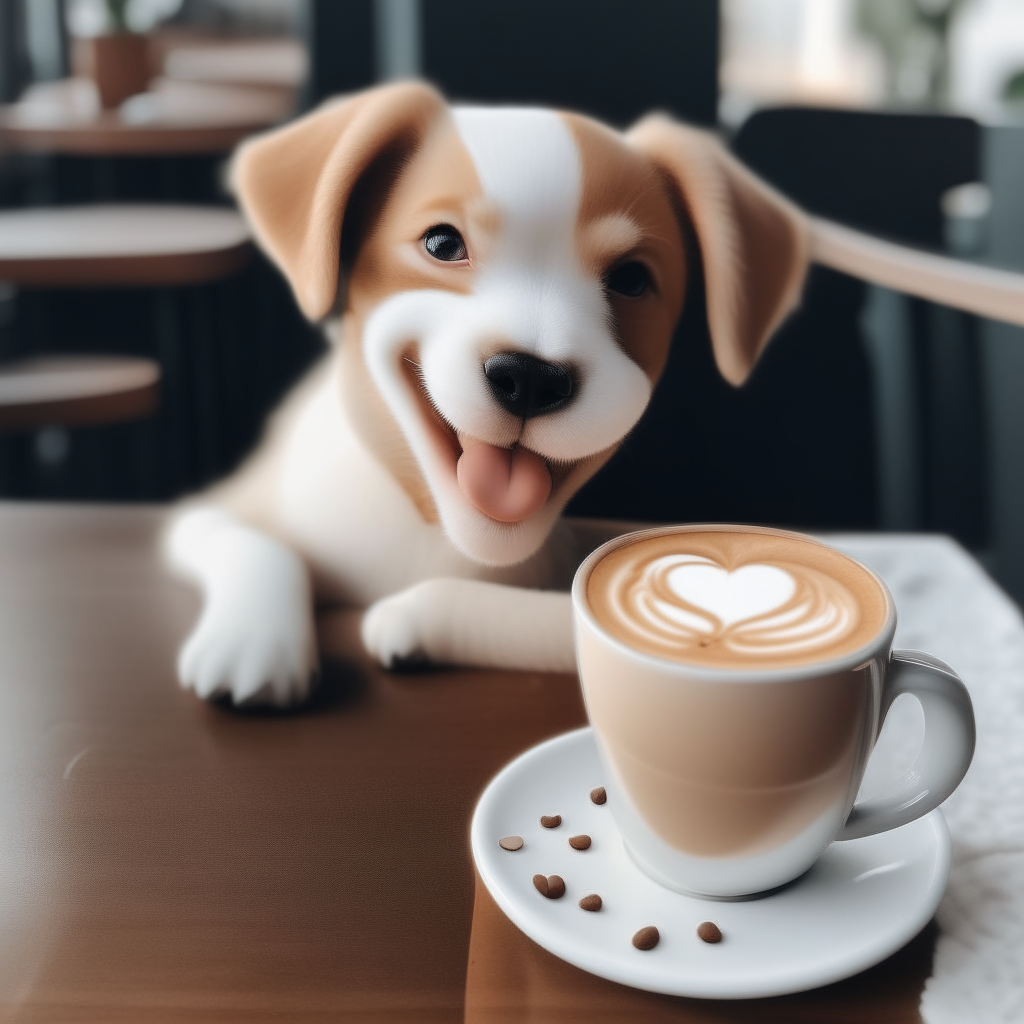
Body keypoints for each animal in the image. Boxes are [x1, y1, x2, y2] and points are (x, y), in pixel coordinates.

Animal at [161, 81, 839, 704]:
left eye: (631, 279)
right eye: (441, 243)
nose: (531, 378)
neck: (435, 532)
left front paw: (414, 616)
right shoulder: (213, 509)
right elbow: (254, 543)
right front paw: (254, 640)